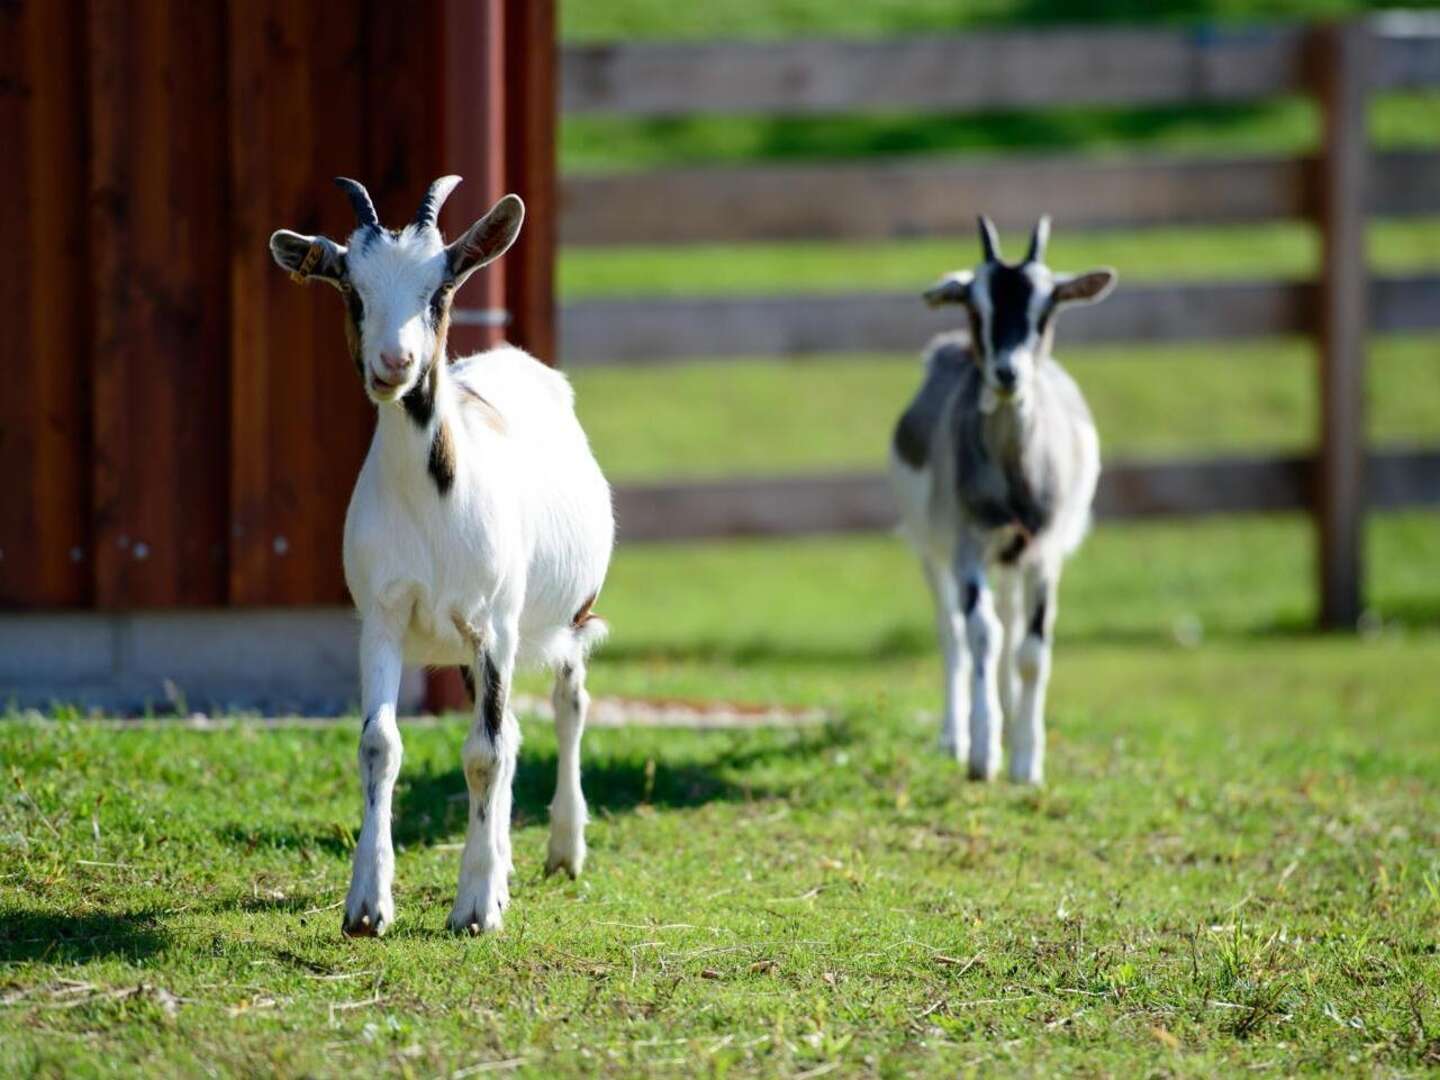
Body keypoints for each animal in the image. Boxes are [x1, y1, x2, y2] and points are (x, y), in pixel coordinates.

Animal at [270, 177, 613, 938]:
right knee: (514, 730)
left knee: (566, 703)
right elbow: (381, 745)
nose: (394, 364)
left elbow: (484, 752)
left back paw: (563, 850)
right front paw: (367, 905)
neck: (431, 506)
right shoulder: (382, 616)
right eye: (352, 289)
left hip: (563, 616)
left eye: (440, 288)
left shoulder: (492, 625)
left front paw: (475, 909)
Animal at [887, 216, 1111, 789]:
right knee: (953, 633)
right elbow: (981, 635)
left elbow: (1030, 649)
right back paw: (956, 734)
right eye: (974, 307)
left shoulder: (1043, 552)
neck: (1014, 480)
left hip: (1013, 559)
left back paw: (1011, 718)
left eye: (1047, 308)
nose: (1007, 373)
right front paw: (983, 755)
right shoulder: (968, 542)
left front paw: (1027, 763)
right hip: (931, 546)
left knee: (1011, 626)